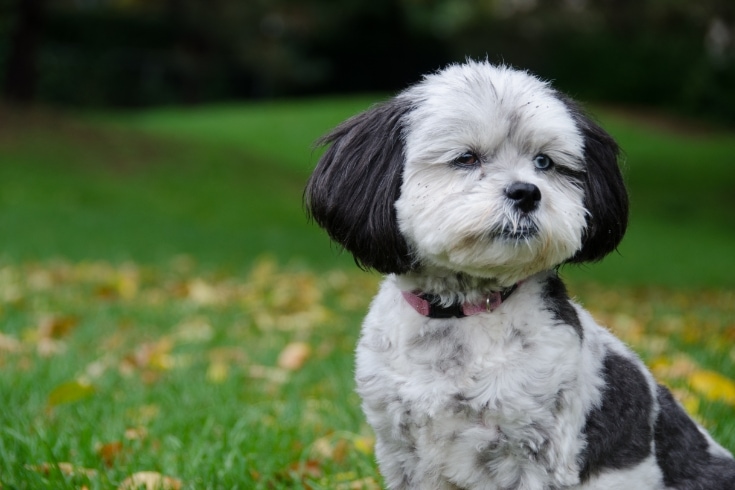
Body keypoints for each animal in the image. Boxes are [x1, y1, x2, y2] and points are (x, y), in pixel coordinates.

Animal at [304, 61, 735, 490]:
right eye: (466, 158)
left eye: (544, 162)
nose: (527, 192)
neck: (463, 309)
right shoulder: (401, 451)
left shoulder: (536, 453)